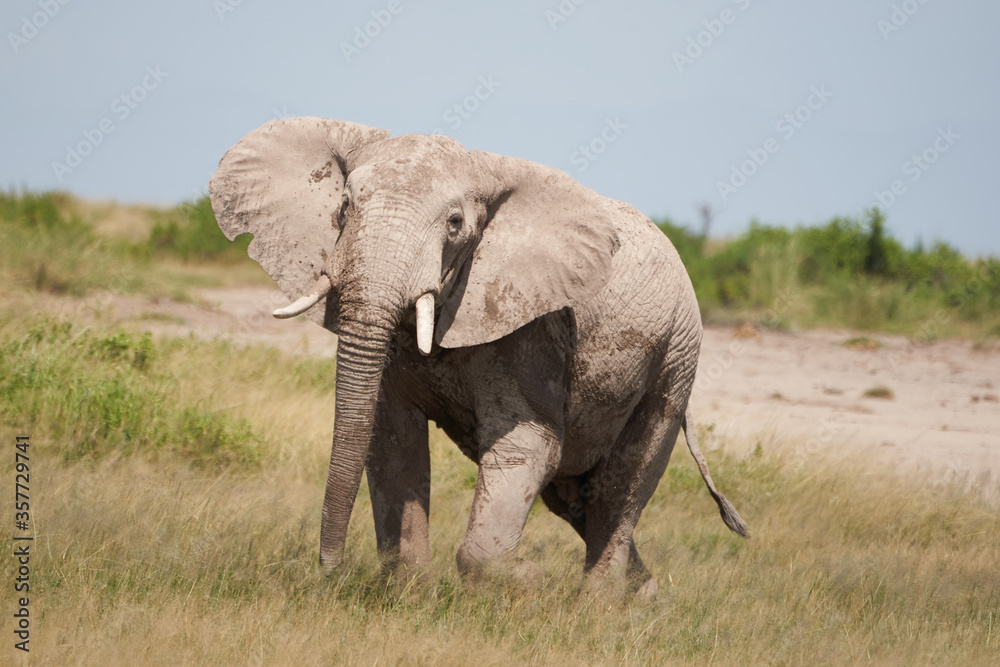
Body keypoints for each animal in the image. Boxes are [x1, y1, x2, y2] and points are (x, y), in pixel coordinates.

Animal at [207, 118, 748, 596]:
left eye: (454, 225)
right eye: (343, 207)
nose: (330, 572)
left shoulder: (532, 329)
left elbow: (527, 445)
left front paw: (526, 580)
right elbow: (393, 439)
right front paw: (410, 595)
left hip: (675, 358)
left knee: (621, 486)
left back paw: (598, 608)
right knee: (574, 498)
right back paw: (646, 597)